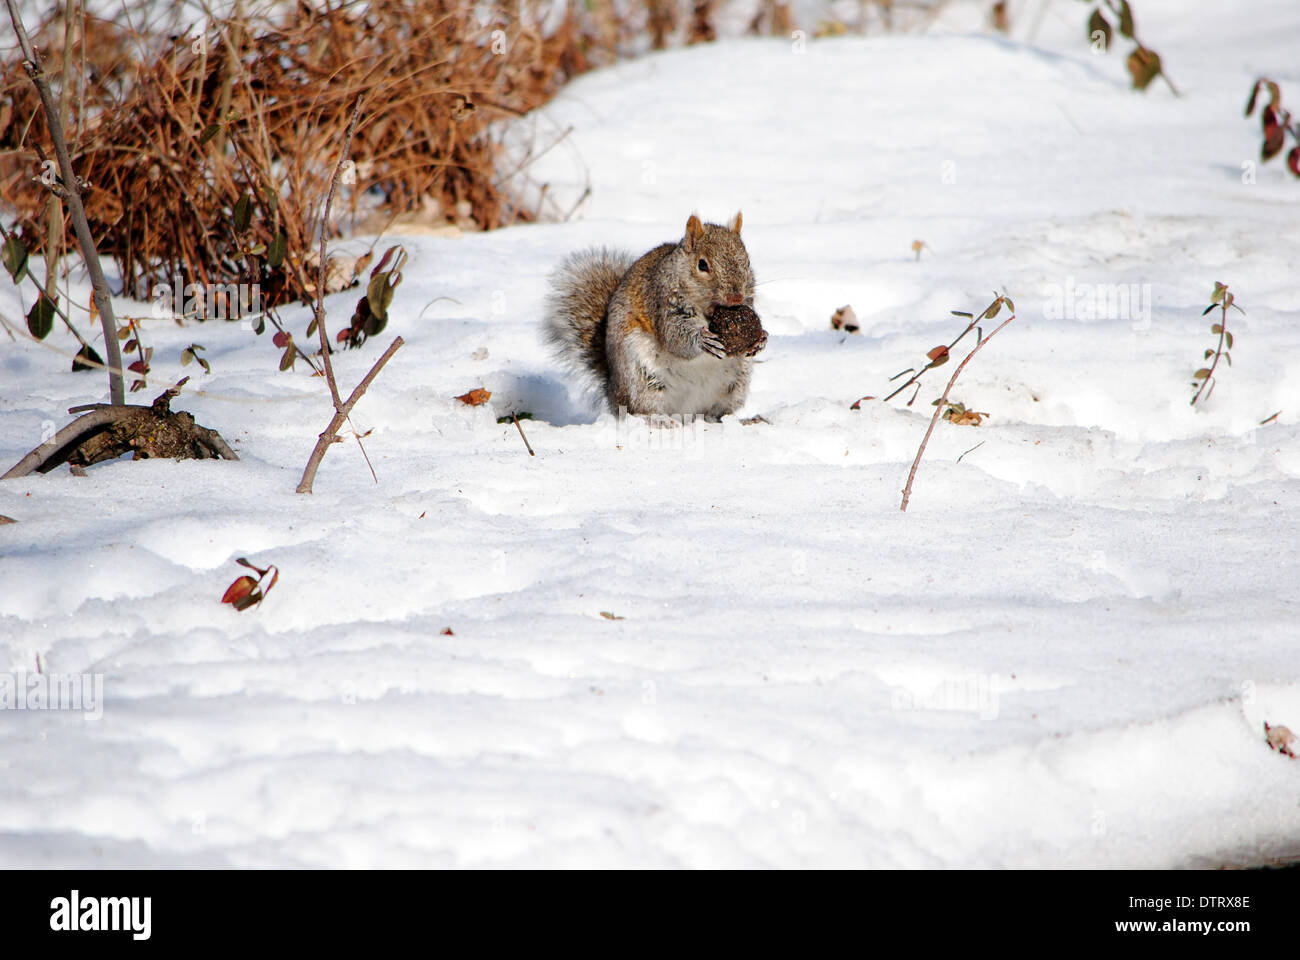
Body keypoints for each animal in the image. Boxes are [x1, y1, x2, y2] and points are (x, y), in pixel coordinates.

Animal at [540, 210, 759, 416]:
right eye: (702, 264)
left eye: (748, 262)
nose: (736, 297)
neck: (706, 311)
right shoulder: (662, 302)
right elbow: (674, 337)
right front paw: (702, 340)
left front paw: (760, 339)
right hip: (640, 375)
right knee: (640, 409)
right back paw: (661, 421)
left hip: (737, 381)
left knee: (716, 410)